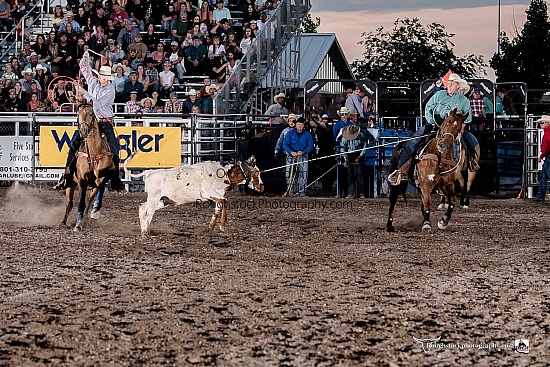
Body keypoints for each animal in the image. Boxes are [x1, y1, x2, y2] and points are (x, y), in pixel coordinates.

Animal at [62, 103, 115, 231]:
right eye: (78, 113)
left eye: (91, 113)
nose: (84, 131)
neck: (94, 152)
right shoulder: (82, 180)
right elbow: (81, 203)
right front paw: (77, 225)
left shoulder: (99, 180)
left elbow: (90, 200)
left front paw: (85, 220)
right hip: (71, 183)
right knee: (69, 204)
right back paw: (63, 222)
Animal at [126, 155, 264, 236]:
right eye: (257, 173)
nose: (262, 187)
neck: (224, 174)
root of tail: (149, 172)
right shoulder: (208, 192)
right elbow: (225, 201)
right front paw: (222, 226)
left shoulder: (215, 196)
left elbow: (218, 208)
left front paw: (210, 229)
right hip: (154, 198)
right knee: (147, 213)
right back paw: (145, 233)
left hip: (163, 200)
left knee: (142, 207)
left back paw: (144, 230)